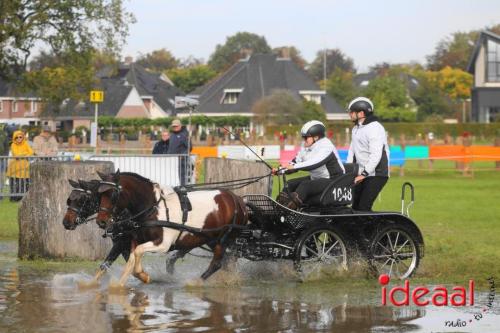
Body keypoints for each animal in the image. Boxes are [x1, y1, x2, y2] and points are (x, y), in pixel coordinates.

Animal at [94, 170, 247, 286]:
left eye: (113, 194)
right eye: (99, 194)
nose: (101, 221)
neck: (153, 208)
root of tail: (237, 199)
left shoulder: (163, 244)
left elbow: (138, 253)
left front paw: (143, 275)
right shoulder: (134, 240)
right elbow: (131, 261)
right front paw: (123, 284)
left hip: (224, 239)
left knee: (217, 264)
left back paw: (195, 282)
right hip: (210, 239)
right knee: (225, 262)